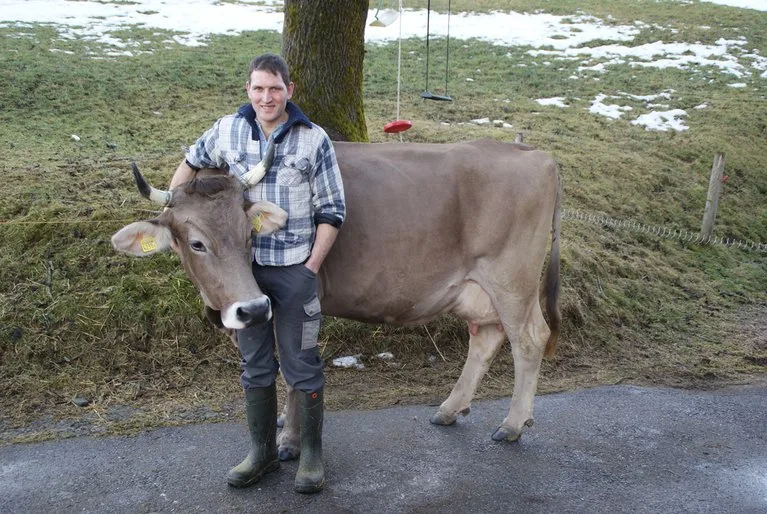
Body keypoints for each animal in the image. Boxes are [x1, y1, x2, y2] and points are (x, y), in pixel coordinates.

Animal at [112, 139, 562, 458]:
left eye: (247, 235)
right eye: (197, 243)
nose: (252, 308)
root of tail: (533, 152)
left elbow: (292, 372)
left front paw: (290, 441)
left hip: (511, 279)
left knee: (529, 339)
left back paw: (512, 424)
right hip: (480, 289)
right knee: (486, 338)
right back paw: (450, 409)